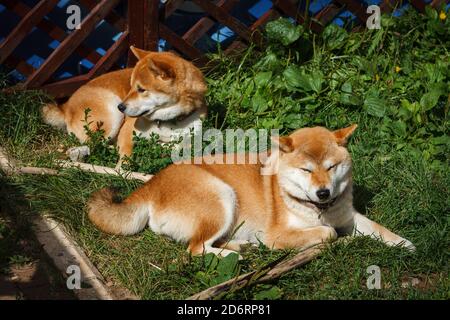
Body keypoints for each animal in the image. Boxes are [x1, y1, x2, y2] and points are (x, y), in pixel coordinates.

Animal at [41, 47, 207, 162]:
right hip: (112, 117)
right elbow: (126, 156)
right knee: (93, 144)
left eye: (141, 89)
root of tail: (65, 106)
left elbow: (181, 147)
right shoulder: (128, 132)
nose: (121, 107)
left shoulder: (192, 138)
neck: (167, 121)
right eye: (131, 86)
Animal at [86, 124, 414, 255]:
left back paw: (240, 246)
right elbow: (329, 233)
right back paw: (232, 255)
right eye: (307, 170)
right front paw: (331, 239)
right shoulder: (277, 235)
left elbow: (378, 229)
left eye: (331, 166)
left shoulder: (349, 216)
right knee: (195, 249)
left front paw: (404, 243)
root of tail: (151, 184)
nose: (323, 193)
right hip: (222, 196)